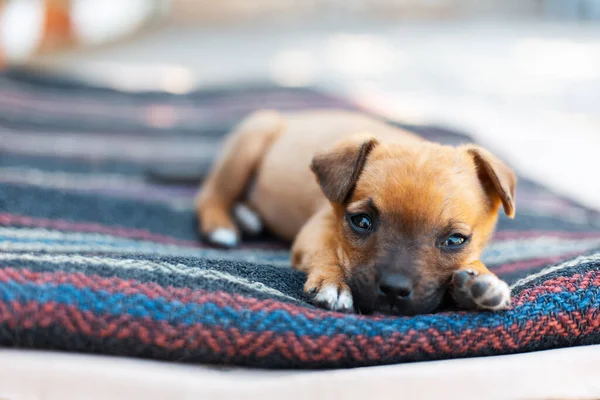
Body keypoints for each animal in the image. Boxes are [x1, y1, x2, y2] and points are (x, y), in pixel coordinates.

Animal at [197, 109, 516, 316]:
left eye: (455, 240)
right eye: (362, 222)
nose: (394, 290)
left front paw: (480, 280)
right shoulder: (315, 230)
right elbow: (327, 251)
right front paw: (333, 283)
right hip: (247, 145)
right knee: (210, 195)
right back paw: (222, 227)